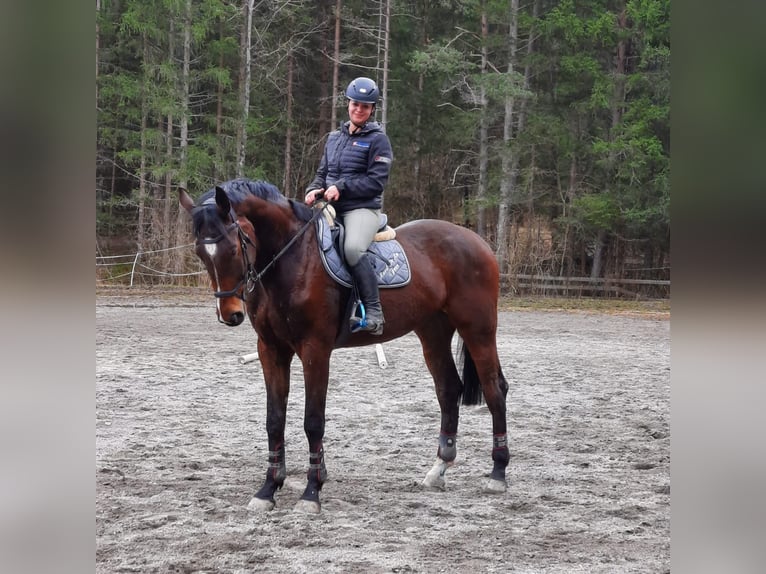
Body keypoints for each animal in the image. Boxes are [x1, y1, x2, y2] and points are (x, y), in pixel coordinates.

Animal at [179, 178, 509, 514]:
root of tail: (475, 240)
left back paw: (498, 474)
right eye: (200, 253)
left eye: (234, 248)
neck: (291, 259)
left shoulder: (315, 349)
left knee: (494, 389)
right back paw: (438, 469)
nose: (229, 314)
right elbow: (274, 420)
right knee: (448, 389)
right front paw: (268, 489)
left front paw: (311, 492)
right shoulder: (270, 350)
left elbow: (313, 421)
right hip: (432, 332)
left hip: (478, 330)